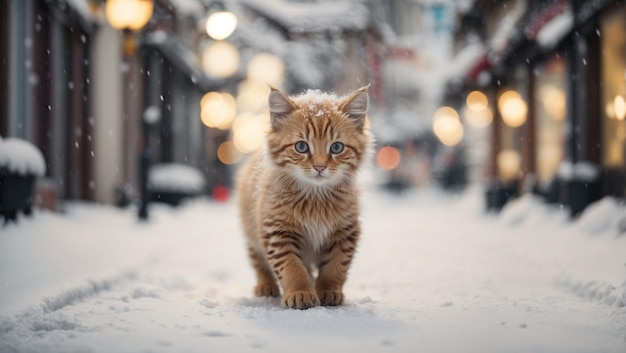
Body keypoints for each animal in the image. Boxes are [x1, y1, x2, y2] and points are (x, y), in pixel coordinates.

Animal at [234, 85, 370, 308]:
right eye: (301, 147)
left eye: (336, 147)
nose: (320, 167)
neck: (315, 198)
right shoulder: (276, 231)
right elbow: (291, 267)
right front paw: (300, 292)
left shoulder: (346, 231)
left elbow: (336, 266)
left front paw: (328, 290)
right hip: (251, 231)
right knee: (259, 263)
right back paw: (266, 286)